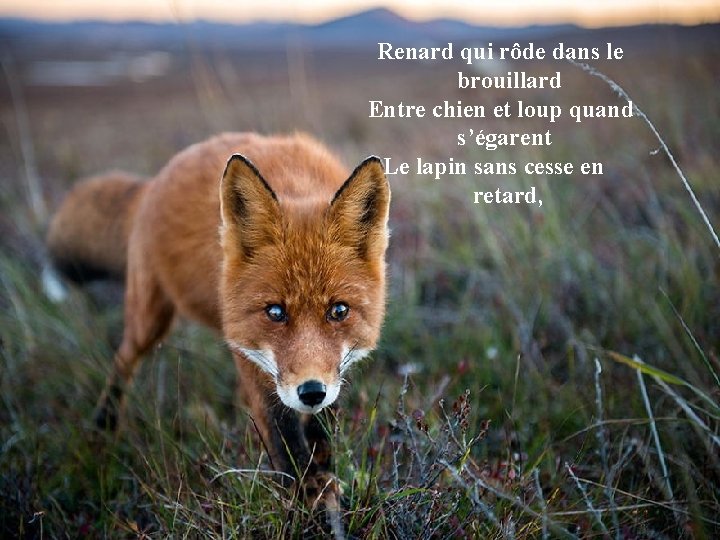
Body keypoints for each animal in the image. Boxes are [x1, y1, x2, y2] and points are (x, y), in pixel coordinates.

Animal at [47, 132, 391, 494]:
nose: (311, 392)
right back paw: (103, 427)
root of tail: (156, 180)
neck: (298, 187)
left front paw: (326, 483)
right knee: (123, 359)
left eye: (339, 310)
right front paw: (309, 500)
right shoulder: (251, 356)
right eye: (275, 311)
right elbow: (285, 442)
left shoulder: (332, 372)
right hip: (148, 319)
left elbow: (322, 430)